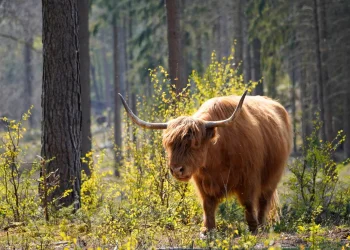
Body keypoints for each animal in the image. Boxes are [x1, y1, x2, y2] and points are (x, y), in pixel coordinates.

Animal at [119, 91, 292, 233]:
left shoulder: (248, 178)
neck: (217, 156)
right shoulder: (202, 181)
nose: (176, 170)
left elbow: (249, 203)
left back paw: (262, 226)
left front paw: (253, 228)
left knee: (264, 200)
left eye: (195, 144)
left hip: (273, 176)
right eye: (168, 144)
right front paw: (207, 230)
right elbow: (207, 204)